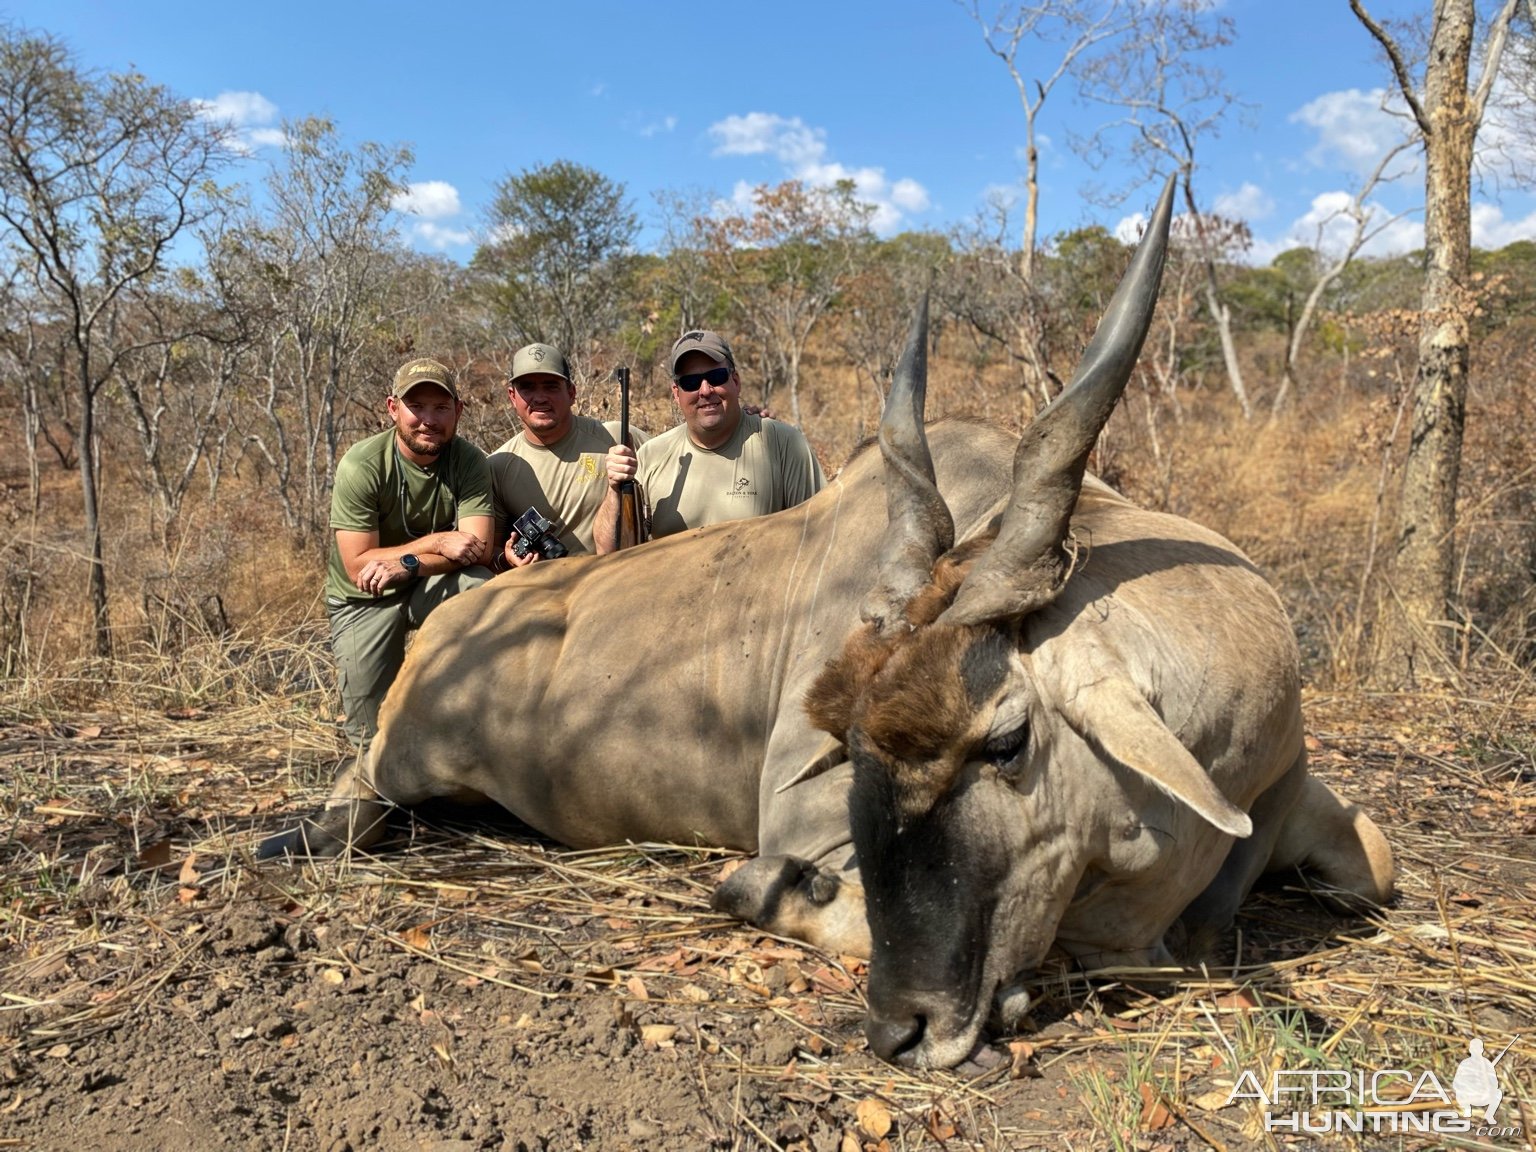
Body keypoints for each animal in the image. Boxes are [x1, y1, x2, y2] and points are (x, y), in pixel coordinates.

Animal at [264, 180, 1394, 1075]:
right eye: (850, 748)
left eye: (1007, 740)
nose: (903, 1030)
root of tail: (453, 629)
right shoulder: (805, 822)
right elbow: (795, 889)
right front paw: (772, 893)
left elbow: (1375, 865)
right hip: (397, 762)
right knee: (356, 795)